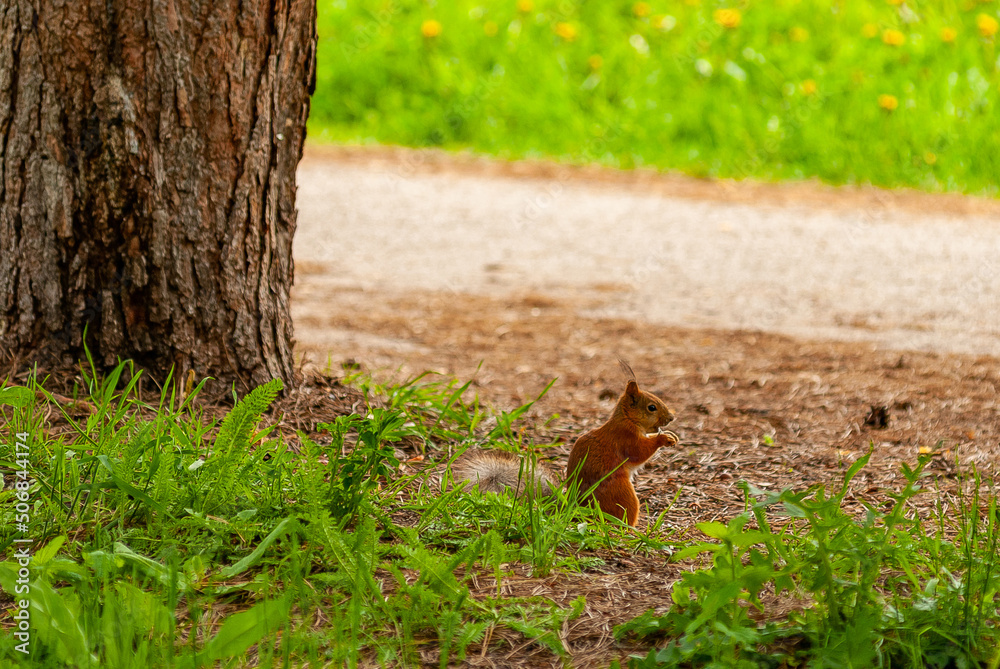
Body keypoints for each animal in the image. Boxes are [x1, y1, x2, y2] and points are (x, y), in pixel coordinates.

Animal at [451, 361, 678, 527]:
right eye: (651, 407)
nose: (671, 418)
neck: (627, 420)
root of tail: (577, 509)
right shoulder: (625, 438)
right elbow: (639, 452)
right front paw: (664, 438)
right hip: (622, 494)